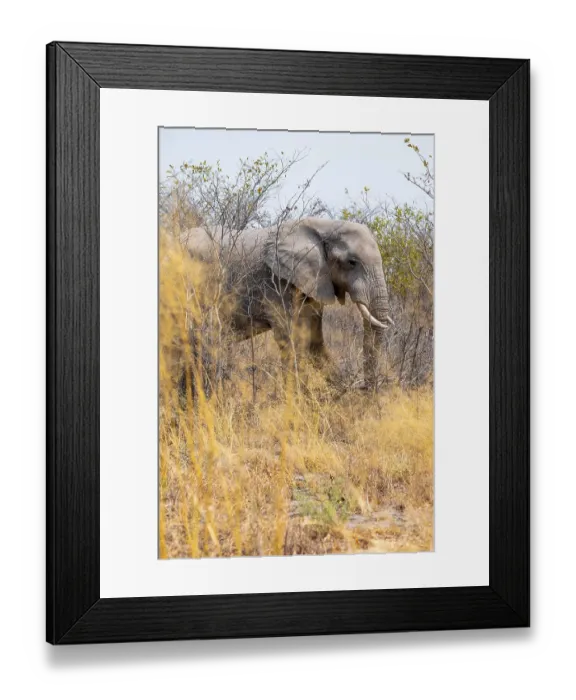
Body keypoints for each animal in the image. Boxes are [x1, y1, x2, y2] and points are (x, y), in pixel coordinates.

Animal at [178, 217, 393, 388]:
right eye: (351, 262)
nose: (364, 389)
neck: (324, 225)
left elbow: (314, 341)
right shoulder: (277, 284)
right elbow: (291, 340)